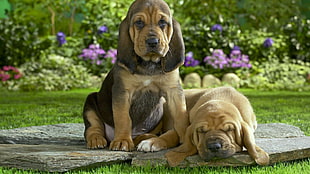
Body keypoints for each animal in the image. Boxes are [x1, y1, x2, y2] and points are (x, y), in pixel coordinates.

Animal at [82, 0, 188, 152]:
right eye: (139, 23)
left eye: (162, 22)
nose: (152, 42)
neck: (149, 64)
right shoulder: (122, 92)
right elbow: (123, 118)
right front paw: (122, 140)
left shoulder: (173, 90)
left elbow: (181, 115)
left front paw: (187, 135)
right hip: (90, 101)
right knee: (93, 127)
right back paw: (97, 139)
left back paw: (147, 138)